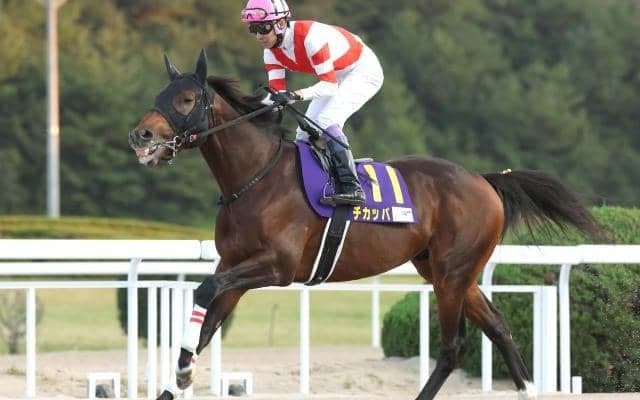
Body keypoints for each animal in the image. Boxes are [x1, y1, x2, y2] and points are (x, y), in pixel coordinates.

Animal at [129, 50, 603, 400]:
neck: (254, 178)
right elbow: (206, 325)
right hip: (446, 270)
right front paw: (178, 378)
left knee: (453, 348)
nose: (141, 136)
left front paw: (184, 371)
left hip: (451, 273)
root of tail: (484, 180)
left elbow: (204, 292)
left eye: (187, 99)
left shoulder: (277, 267)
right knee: (499, 327)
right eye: (160, 93)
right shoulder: (235, 267)